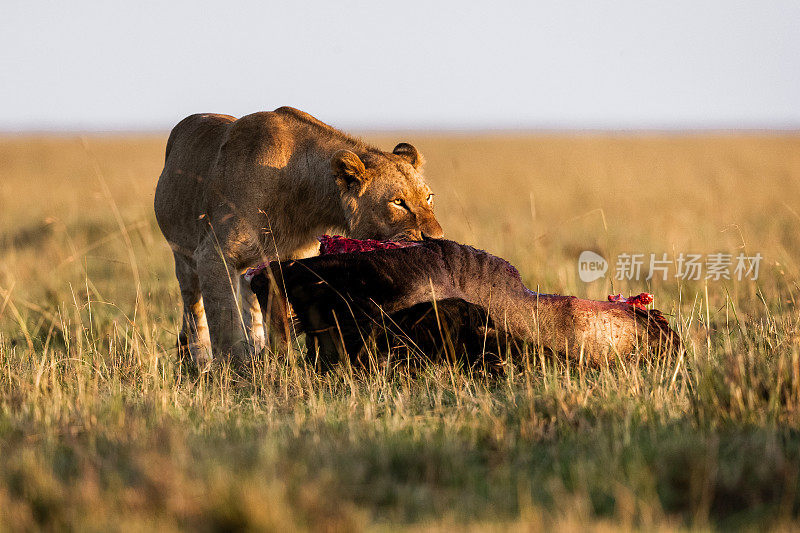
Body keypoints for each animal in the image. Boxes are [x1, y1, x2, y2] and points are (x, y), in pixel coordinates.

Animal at [155, 106, 444, 364]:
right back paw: (199, 361)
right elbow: (224, 323)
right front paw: (235, 374)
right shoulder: (213, 254)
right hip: (183, 255)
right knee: (193, 308)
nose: (437, 238)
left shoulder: (292, 261)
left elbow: (279, 322)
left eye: (429, 197)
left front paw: (279, 364)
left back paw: (256, 351)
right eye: (398, 202)